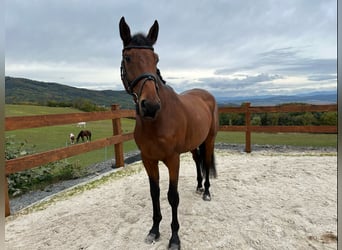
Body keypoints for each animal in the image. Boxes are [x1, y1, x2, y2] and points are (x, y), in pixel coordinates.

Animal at [119, 16, 218, 249]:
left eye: (156, 58)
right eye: (127, 57)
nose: (150, 106)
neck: (157, 120)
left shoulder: (173, 159)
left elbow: (173, 196)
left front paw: (174, 238)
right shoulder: (148, 160)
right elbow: (154, 193)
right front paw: (154, 230)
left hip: (209, 140)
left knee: (206, 161)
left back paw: (206, 192)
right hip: (193, 144)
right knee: (198, 160)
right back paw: (199, 186)